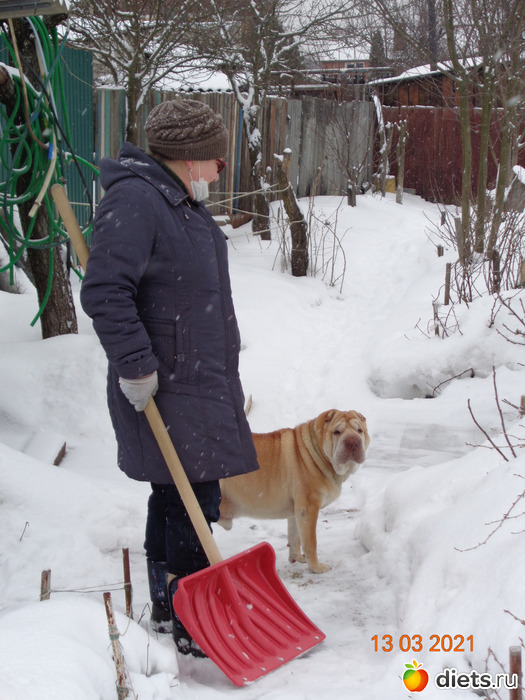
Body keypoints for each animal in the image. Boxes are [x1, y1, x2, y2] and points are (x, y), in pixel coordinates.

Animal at [219, 409, 370, 574]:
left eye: (359, 430)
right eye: (337, 432)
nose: (353, 442)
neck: (316, 454)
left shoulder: (296, 511)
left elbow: (295, 535)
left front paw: (297, 557)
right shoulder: (308, 508)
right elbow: (310, 542)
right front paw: (316, 567)